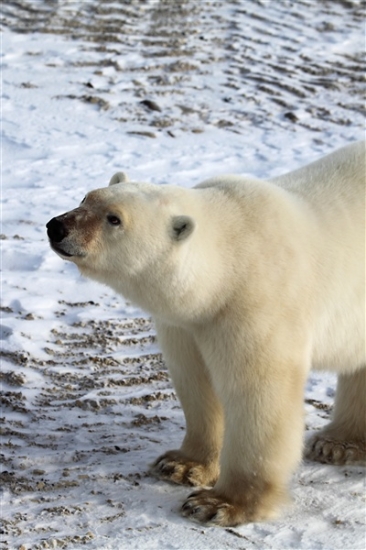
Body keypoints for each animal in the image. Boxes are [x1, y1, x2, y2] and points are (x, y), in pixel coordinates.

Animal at [47, 143, 364, 532]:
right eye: (86, 197)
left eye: (114, 219)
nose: (56, 226)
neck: (232, 255)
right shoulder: (190, 323)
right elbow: (196, 381)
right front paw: (182, 464)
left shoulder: (256, 305)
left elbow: (258, 395)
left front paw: (219, 504)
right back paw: (339, 443)